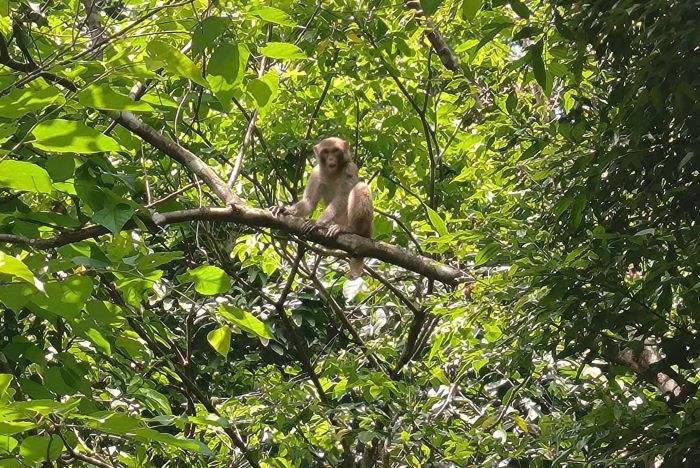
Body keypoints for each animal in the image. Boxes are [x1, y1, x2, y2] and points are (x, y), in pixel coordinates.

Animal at [271, 137, 373, 278]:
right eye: (326, 152)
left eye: (335, 151)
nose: (331, 159)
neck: (333, 173)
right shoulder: (316, 172)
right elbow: (309, 202)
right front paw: (285, 210)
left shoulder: (350, 168)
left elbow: (343, 197)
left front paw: (318, 223)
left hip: (366, 227)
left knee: (360, 186)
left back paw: (352, 229)